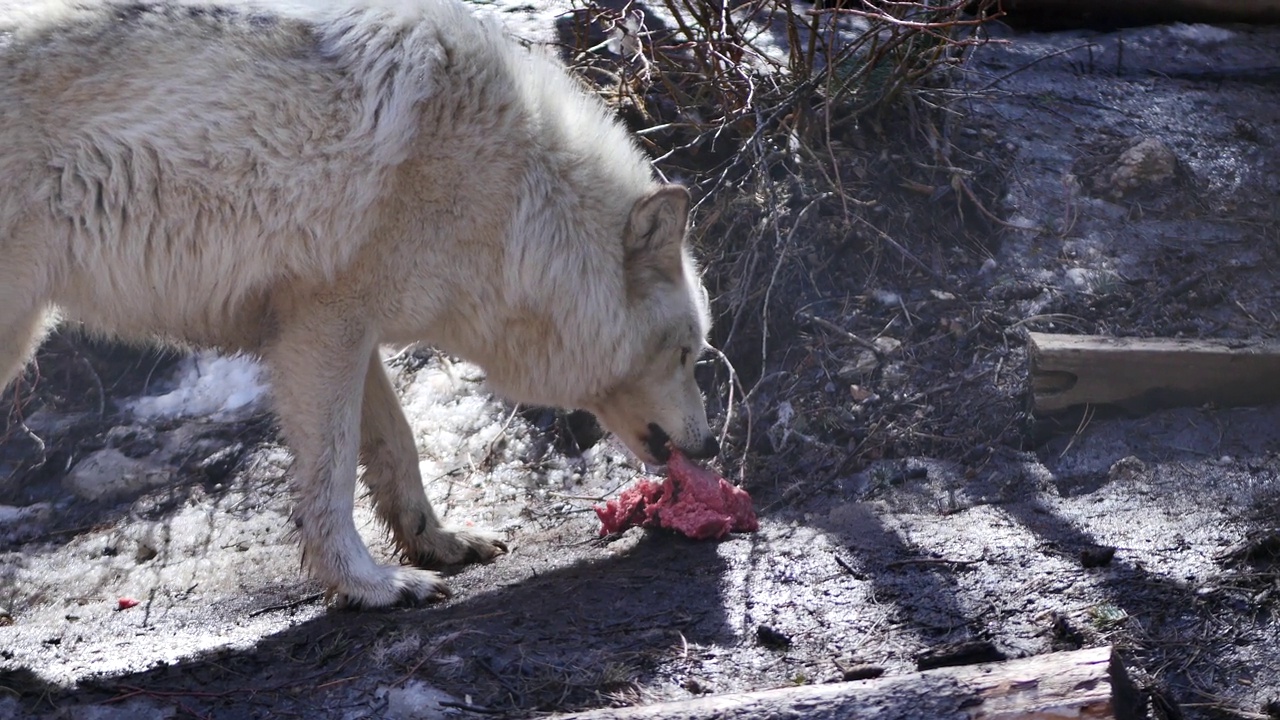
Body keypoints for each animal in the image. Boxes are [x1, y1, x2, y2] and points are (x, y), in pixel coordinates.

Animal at [0, 0, 721, 604]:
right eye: (686, 354)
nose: (712, 446)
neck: (514, 201)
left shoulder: (348, 333)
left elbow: (397, 447)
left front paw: (437, 543)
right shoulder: (322, 330)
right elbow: (332, 474)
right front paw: (370, 585)